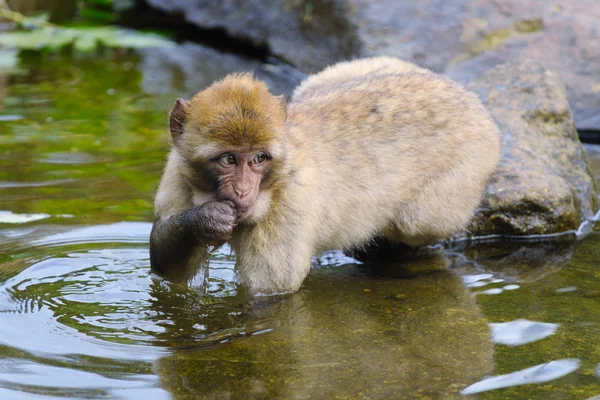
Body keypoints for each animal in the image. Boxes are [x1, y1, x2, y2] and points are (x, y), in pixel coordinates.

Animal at [150, 55, 502, 294]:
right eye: (228, 159)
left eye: (259, 158)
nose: (242, 191)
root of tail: (468, 97)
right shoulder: (177, 173)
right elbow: (167, 269)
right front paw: (206, 220)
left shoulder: (290, 203)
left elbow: (270, 291)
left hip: (469, 162)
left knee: (418, 223)